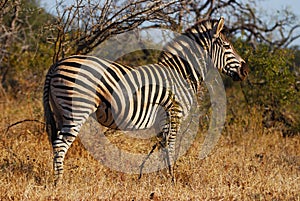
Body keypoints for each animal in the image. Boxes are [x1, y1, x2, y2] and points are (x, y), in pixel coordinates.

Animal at [42, 17, 248, 184]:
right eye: (228, 47)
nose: (245, 70)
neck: (181, 75)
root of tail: (56, 64)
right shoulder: (174, 114)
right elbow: (170, 147)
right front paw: (172, 179)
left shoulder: (163, 119)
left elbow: (159, 146)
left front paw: (146, 175)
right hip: (77, 109)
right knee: (60, 144)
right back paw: (58, 181)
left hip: (60, 111)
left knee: (56, 142)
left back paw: (56, 177)